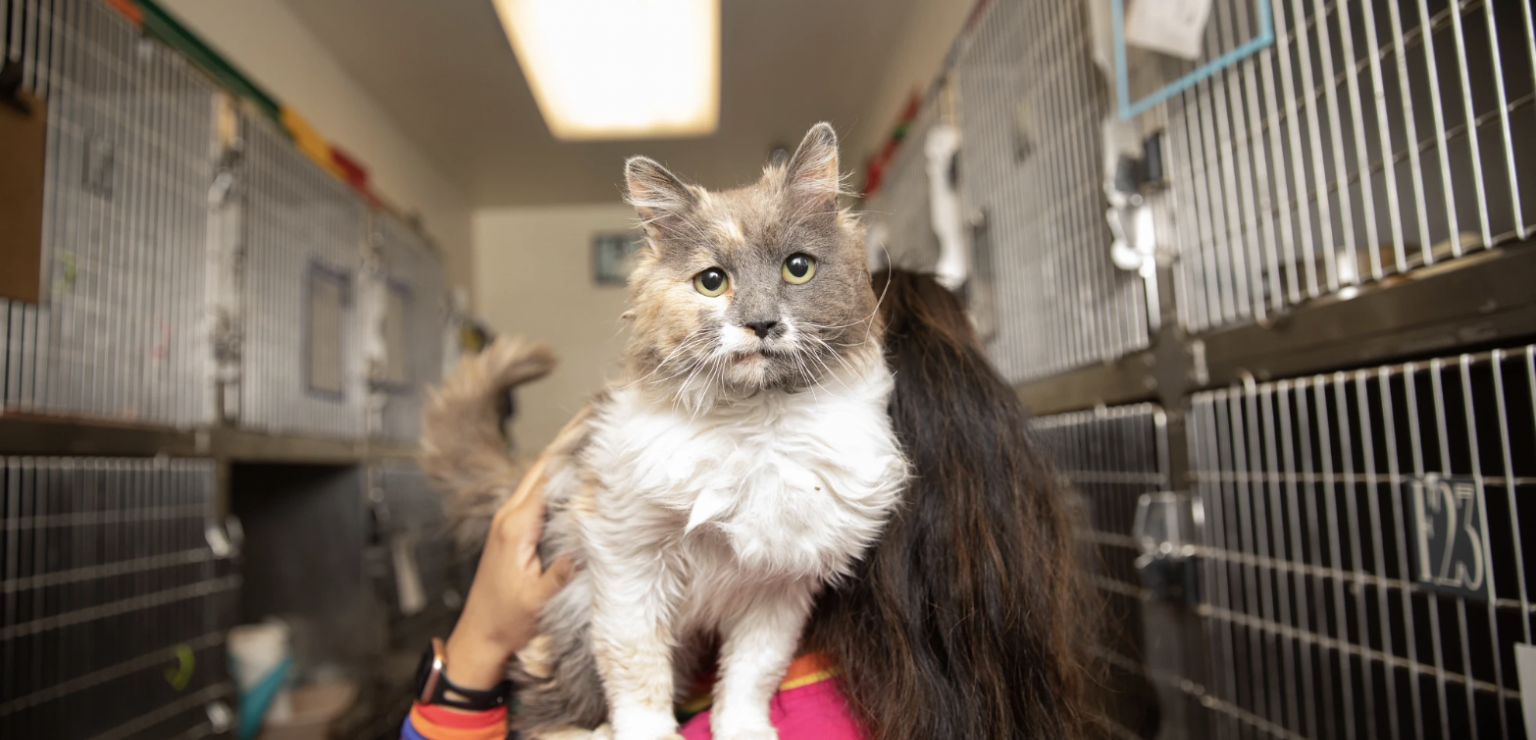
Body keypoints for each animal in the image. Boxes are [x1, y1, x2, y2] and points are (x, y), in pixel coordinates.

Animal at [420, 124, 903, 736]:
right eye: (712, 281)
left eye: (798, 267)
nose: (762, 324)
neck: (758, 424)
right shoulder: (626, 557)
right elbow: (637, 673)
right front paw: (648, 732)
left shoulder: (781, 585)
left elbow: (752, 674)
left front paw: (743, 728)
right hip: (566, 622)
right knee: (540, 708)